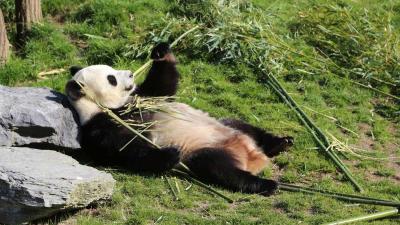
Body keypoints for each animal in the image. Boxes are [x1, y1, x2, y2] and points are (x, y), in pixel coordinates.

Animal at [65, 43, 294, 196]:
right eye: (111, 79)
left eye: (112, 70)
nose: (130, 74)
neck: (113, 107)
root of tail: (252, 157)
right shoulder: (101, 128)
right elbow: (126, 150)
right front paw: (170, 154)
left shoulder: (143, 97)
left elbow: (164, 86)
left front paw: (160, 51)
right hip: (204, 151)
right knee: (219, 169)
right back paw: (266, 184)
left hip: (228, 127)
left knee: (242, 125)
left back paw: (281, 142)